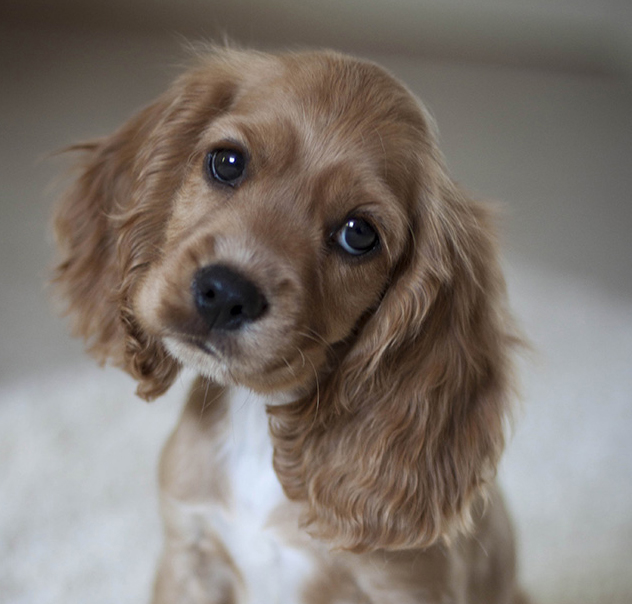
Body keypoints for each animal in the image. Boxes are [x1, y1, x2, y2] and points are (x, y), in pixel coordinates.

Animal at [53, 47, 524, 604]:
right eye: (228, 161)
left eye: (359, 234)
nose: (225, 294)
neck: (259, 422)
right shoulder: (190, 552)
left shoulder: (408, 589)